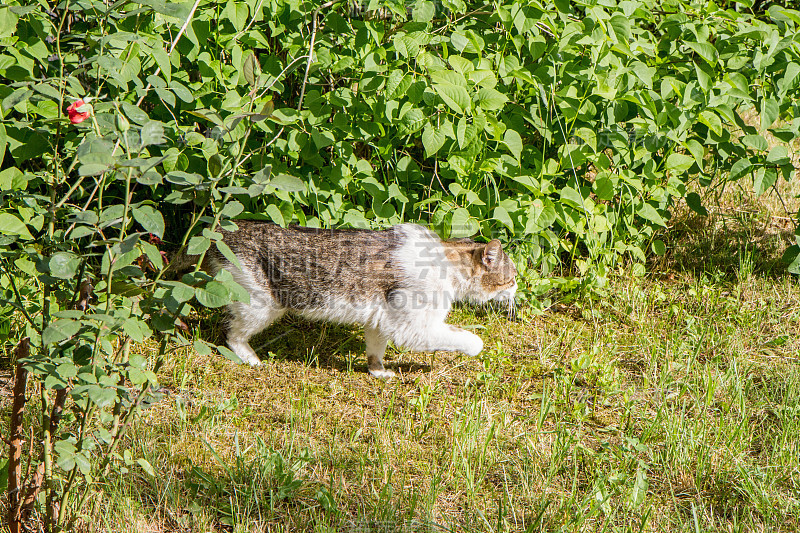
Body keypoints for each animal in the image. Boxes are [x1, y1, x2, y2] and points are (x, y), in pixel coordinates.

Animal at [200, 221, 520, 378]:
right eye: (512, 277)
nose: (518, 288)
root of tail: (220, 231)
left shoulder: (382, 320)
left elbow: (375, 350)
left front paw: (378, 372)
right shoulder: (413, 328)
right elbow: (469, 339)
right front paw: (475, 346)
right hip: (261, 306)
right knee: (232, 334)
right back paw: (251, 359)